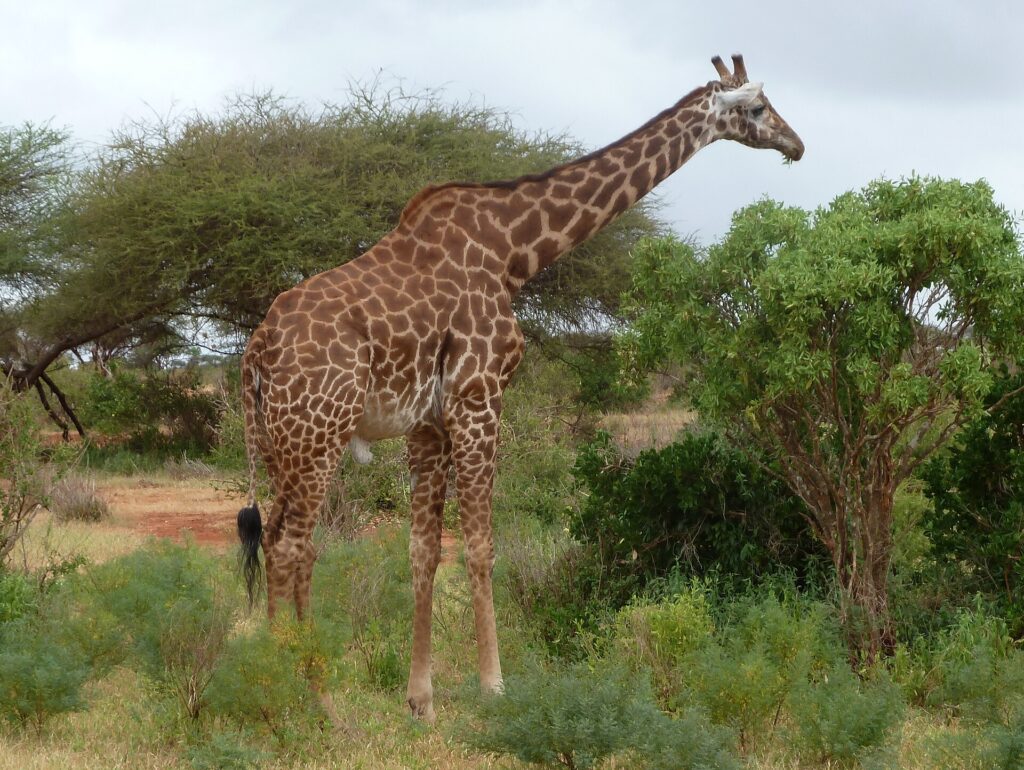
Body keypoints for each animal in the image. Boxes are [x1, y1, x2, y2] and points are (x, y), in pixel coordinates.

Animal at [237, 53, 804, 722]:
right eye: (759, 108)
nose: (797, 144)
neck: (513, 251)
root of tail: (256, 351)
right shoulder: (480, 398)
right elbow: (480, 546)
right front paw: (494, 686)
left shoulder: (429, 421)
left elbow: (423, 550)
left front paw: (421, 698)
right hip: (318, 437)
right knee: (292, 547)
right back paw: (310, 695)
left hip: (286, 444)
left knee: (280, 541)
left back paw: (286, 677)